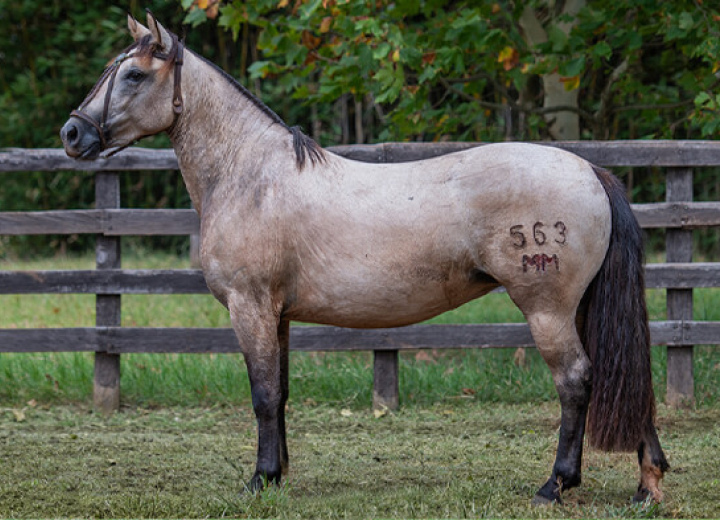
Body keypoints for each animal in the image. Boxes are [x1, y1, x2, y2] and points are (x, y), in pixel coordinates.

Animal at [60, 12, 668, 506]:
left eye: (134, 76)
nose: (72, 132)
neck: (251, 176)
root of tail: (591, 170)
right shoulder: (277, 315)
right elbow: (280, 392)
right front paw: (279, 475)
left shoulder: (249, 307)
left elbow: (261, 395)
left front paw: (259, 480)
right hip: (581, 309)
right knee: (623, 379)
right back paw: (648, 483)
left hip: (547, 310)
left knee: (576, 381)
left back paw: (556, 484)